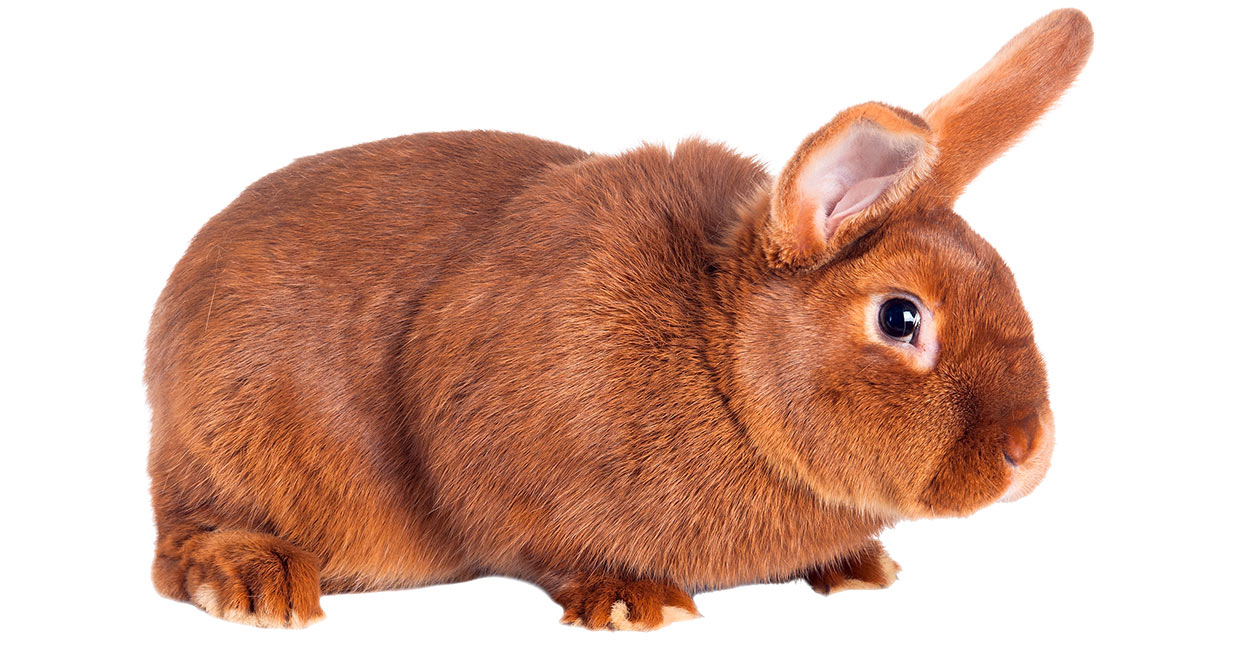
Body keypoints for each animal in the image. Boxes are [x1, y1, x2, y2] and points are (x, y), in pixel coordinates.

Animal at [146, 8, 1095, 630]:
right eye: (901, 318)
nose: (1030, 451)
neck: (720, 364)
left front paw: (860, 568)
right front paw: (635, 600)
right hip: (228, 450)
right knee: (176, 548)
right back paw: (257, 581)